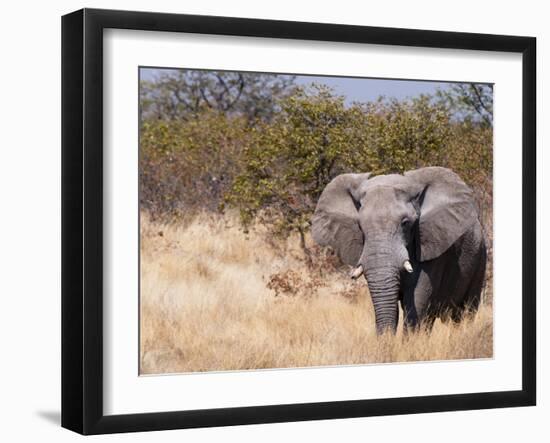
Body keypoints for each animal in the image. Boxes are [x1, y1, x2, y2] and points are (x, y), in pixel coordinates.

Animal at [312, 168, 490, 334]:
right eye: (360, 226)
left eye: (405, 223)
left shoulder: (429, 246)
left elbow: (416, 301)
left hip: (480, 259)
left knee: (464, 313)